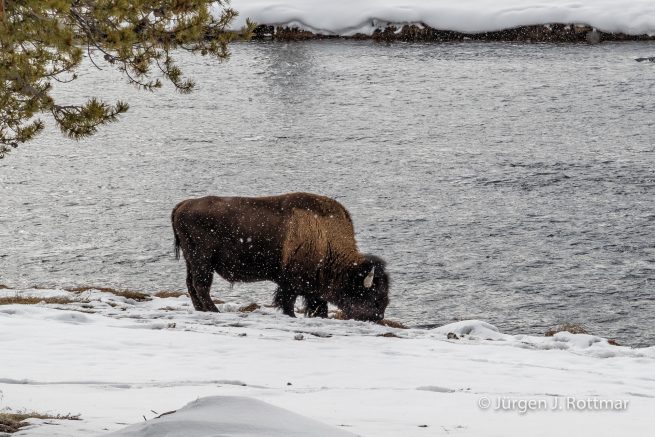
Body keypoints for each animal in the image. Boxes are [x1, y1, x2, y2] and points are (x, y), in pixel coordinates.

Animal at [171, 193, 389, 321]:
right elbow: (288, 302)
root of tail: (183, 204)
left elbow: (316, 305)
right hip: (202, 262)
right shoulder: (291, 283)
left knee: (192, 285)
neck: (325, 237)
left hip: (193, 262)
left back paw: (202, 310)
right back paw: (213, 311)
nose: (377, 317)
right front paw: (292, 316)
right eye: (371, 293)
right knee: (201, 286)